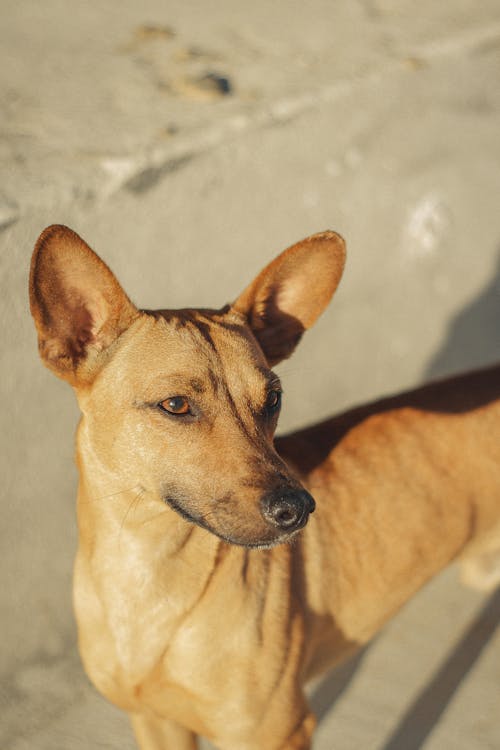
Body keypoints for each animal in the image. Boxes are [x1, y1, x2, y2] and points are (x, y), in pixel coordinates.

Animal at [30, 226, 500, 748]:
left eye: (273, 398)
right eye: (175, 404)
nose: (298, 507)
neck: (149, 575)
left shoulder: (275, 731)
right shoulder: (155, 722)